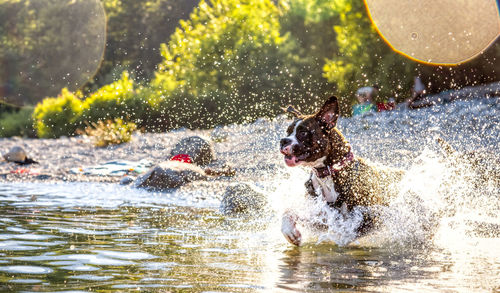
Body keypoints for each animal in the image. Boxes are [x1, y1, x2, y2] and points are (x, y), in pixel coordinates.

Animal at [280, 96, 404, 244]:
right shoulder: (321, 217)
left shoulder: (370, 217)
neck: (328, 173)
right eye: (288, 131)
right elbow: (288, 212)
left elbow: (346, 232)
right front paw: (290, 232)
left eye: (303, 132)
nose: (283, 140)